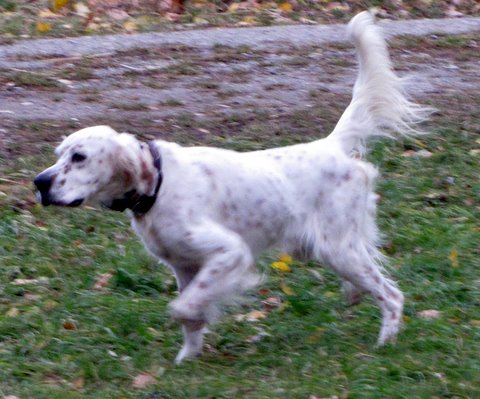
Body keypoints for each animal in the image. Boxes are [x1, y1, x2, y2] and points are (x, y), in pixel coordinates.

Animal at [34, 12, 432, 364]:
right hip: (337, 249)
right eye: (58, 155)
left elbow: (185, 306)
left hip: (338, 249)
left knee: (392, 295)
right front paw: (187, 358)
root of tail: (330, 145)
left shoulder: (230, 251)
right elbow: (192, 312)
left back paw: (384, 344)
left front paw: (194, 323)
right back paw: (356, 300)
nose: (40, 183)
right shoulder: (184, 266)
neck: (157, 185)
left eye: (79, 157)